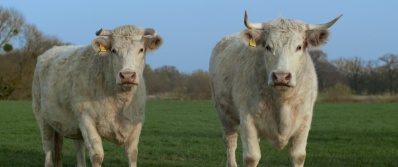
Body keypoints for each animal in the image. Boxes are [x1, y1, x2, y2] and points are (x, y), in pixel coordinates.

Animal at [31, 25, 162, 167]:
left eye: (141, 49)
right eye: (114, 50)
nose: (127, 75)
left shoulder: (136, 123)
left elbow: (132, 154)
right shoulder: (87, 120)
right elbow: (97, 155)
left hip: (70, 124)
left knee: (74, 151)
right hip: (43, 118)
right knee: (48, 149)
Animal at [208, 11, 342, 166]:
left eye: (299, 47)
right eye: (267, 47)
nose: (281, 76)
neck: (281, 101)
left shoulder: (305, 119)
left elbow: (298, 155)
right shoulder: (247, 118)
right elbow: (251, 157)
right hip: (224, 114)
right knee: (230, 141)